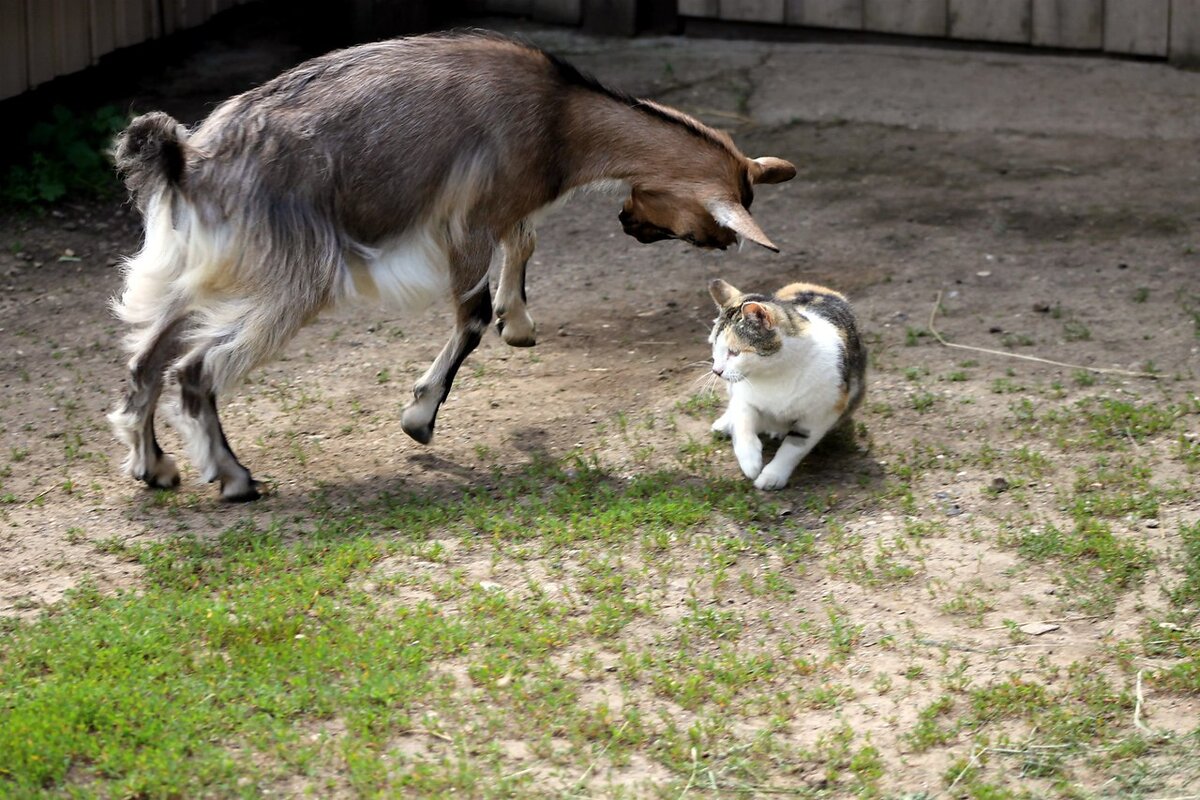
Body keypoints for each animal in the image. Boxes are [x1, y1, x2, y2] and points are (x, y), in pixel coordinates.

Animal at [110, 32, 796, 506]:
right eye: (718, 232)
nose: (628, 222)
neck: (562, 118)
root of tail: (190, 160)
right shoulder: (466, 225)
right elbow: (471, 316)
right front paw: (419, 418)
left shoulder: (499, 213)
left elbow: (524, 240)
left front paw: (519, 323)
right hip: (291, 279)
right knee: (194, 370)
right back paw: (233, 478)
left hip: (201, 270)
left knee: (146, 358)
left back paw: (155, 467)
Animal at [700, 281, 864, 494]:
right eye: (714, 346)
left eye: (734, 352)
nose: (716, 371)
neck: (775, 374)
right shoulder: (744, 395)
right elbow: (743, 420)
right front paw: (750, 462)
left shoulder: (822, 413)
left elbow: (794, 447)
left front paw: (772, 476)